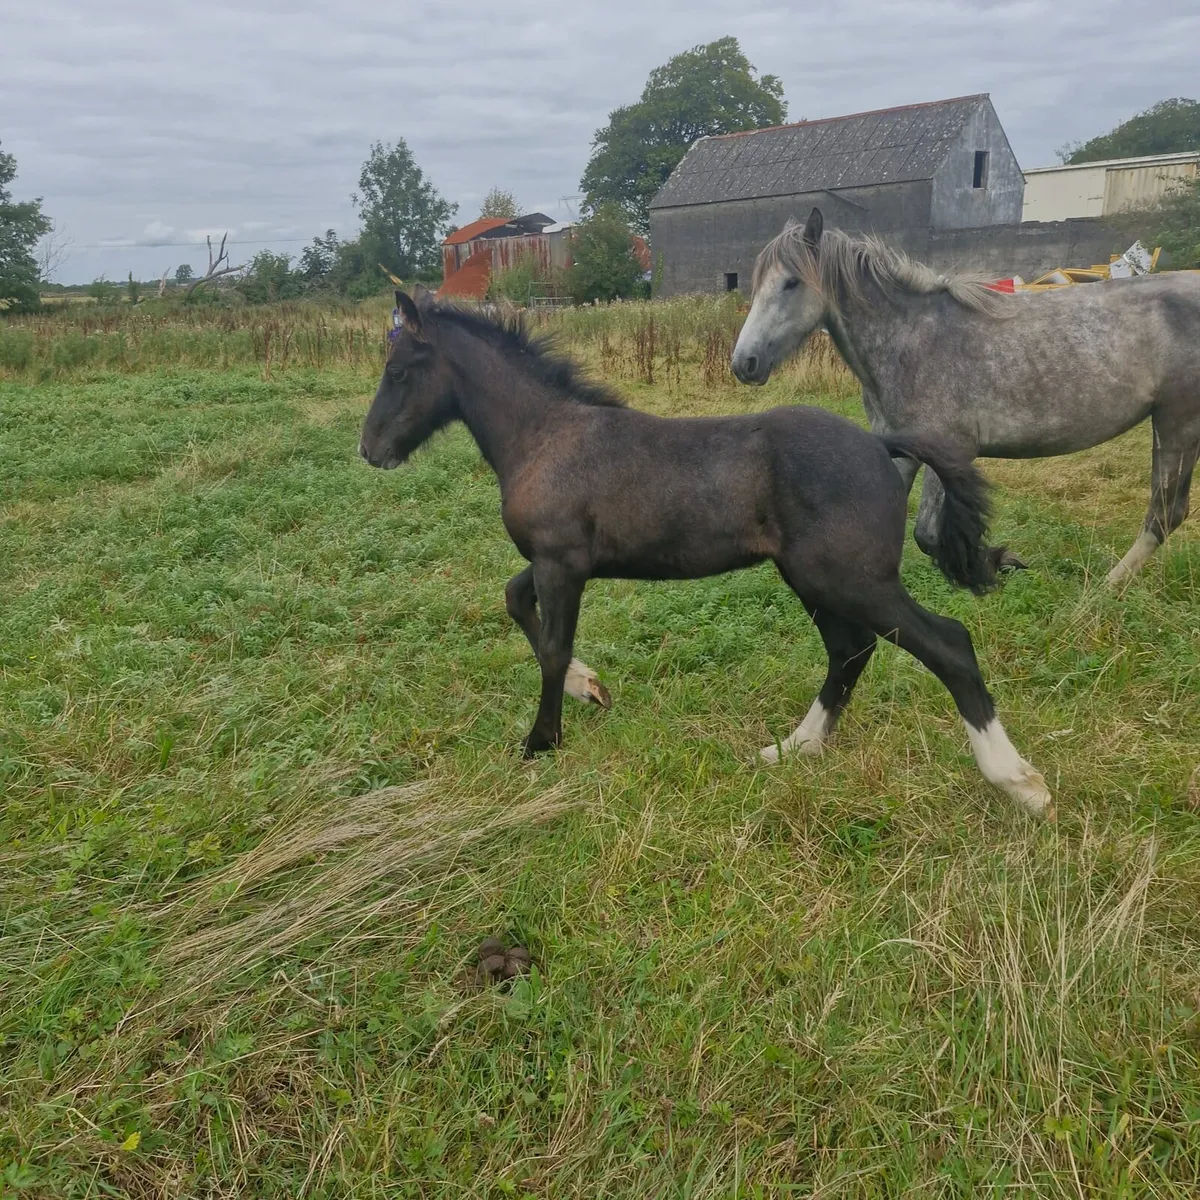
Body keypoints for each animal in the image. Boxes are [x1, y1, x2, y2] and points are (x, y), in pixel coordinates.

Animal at [358, 286, 1051, 816]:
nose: (370, 449)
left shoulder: (561, 565)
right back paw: (793, 749)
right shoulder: (561, 564)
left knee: (946, 644)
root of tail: (881, 445)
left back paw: (1019, 782)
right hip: (814, 580)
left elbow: (550, 649)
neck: (547, 436)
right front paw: (590, 687)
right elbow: (512, 601)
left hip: (851, 579)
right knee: (849, 651)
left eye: (399, 372)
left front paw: (540, 742)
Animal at [731, 209, 1200, 586]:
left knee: (1163, 514)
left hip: (1176, 422)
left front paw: (990, 565)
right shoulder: (901, 448)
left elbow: (927, 533)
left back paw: (1101, 592)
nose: (744, 363)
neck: (911, 339)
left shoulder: (948, 450)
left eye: (791, 282)